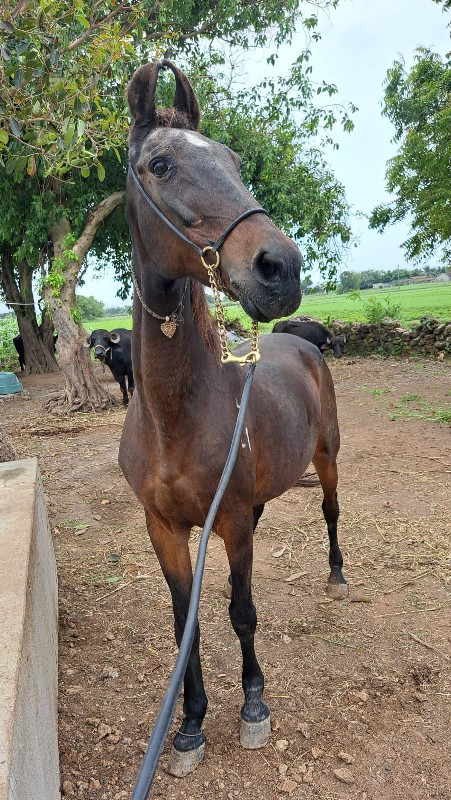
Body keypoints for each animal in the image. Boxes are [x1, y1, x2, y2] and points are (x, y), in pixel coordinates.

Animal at [118, 59, 348, 780]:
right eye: (160, 164)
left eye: (234, 161)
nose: (281, 267)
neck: (175, 419)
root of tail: (302, 341)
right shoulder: (164, 528)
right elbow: (183, 623)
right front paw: (189, 725)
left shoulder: (232, 522)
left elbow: (241, 611)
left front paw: (252, 705)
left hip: (327, 460)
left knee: (331, 513)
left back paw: (337, 573)